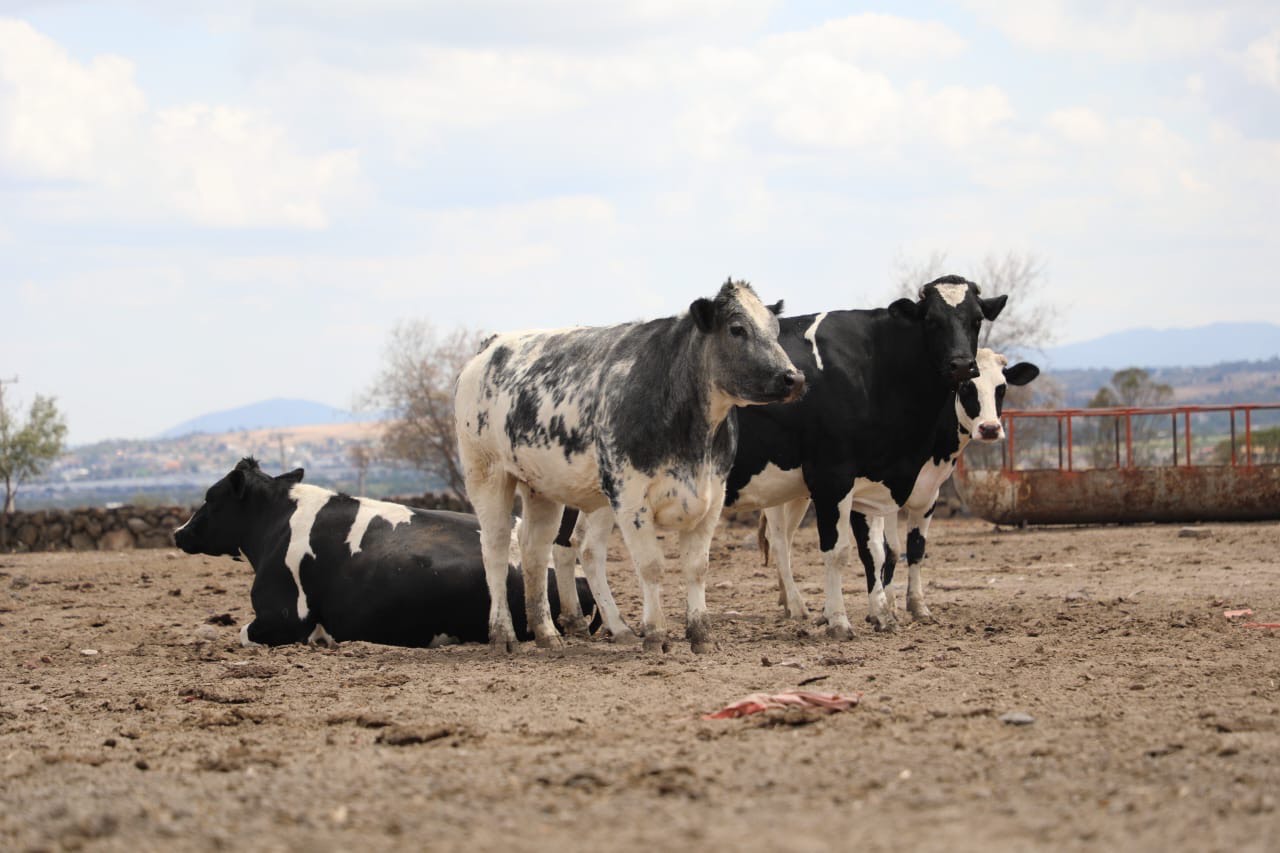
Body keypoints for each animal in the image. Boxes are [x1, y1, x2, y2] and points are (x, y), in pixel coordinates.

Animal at [455, 279, 803, 650]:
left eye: (775, 329)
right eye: (737, 329)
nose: (793, 378)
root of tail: (492, 345)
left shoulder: (712, 495)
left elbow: (697, 567)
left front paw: (701, 634)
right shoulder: (631, 498)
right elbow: (650, 565)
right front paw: (656, 633)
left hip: (541, 487)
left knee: (535, 548)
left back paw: (547, 633)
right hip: (487, 474)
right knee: (495, 548)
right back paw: (503, 634)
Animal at [721, 275, 1008, 635]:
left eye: (977, 319)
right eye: (931, 319)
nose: (961, 364)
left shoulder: (873, 483)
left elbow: (878, 552)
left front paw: (883, 614)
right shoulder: (833, 477)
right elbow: (838, 550)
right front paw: (839, 621)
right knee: (779, 541)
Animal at [757, 345, 1039, 630]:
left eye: (1001, 387)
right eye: (966, 387)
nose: (990, 428)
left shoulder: (927, 495)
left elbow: (912, 549)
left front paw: (911, 606)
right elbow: (881, 550)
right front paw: (881, 609)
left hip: (798, 495)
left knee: (788, 539)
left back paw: (788, 599)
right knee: (779, 542)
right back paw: (796, 605)